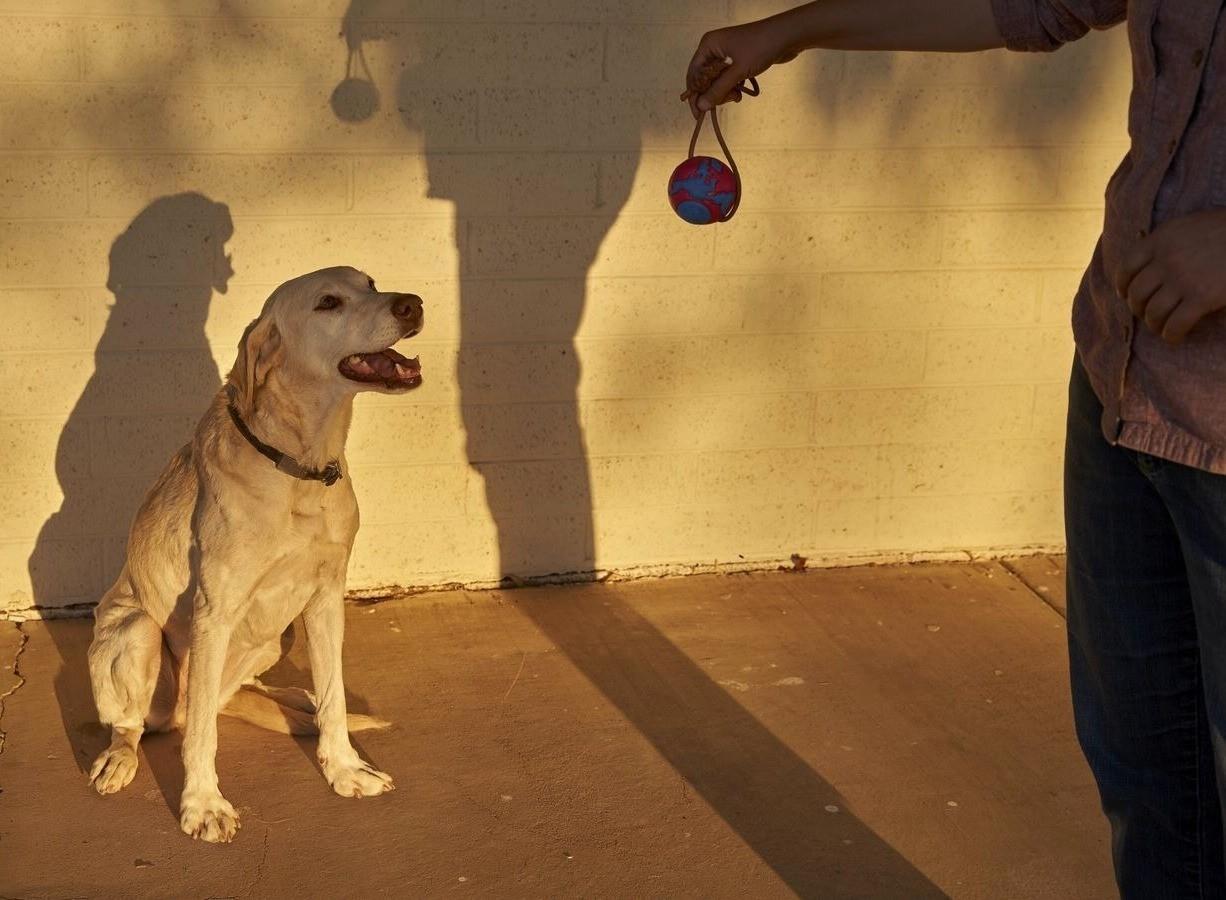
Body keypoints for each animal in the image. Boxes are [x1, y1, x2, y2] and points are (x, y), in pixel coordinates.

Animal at [86, 267, 421, 843]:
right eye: (328, 302)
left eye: (372, 283)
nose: (414, 304)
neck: (298, 466)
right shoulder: (214, 613)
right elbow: (203, 736)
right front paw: (203, 804)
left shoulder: (326, 598)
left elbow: (334, 697)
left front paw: (344, 768)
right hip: (135, 632)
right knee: (146, 723)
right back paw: (121, 756)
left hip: (273, 640)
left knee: (245, 696)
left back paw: (294, 699)